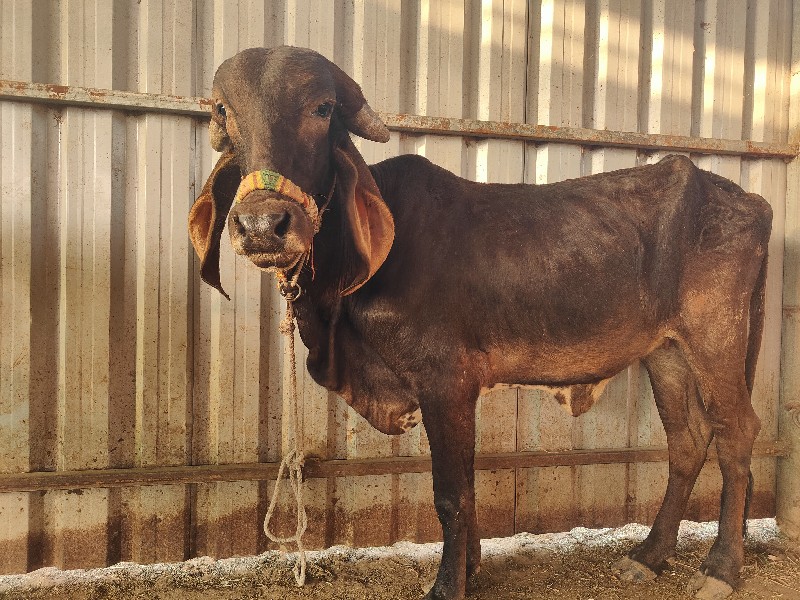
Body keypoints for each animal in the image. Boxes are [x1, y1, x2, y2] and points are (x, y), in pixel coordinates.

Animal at [188, 47, 768, 600]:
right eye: (224, 112)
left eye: (322, 108)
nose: (264, 224)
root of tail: (751, 201)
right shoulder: (457, 393)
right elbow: (464, 486)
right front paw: (469, 568)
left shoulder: (444, 382)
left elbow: (450, 495)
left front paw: (448, 585)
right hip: (665, 350)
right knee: (687, 440)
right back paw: (648, 555)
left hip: (715, 337)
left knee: (736, 433)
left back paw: (720, 568)